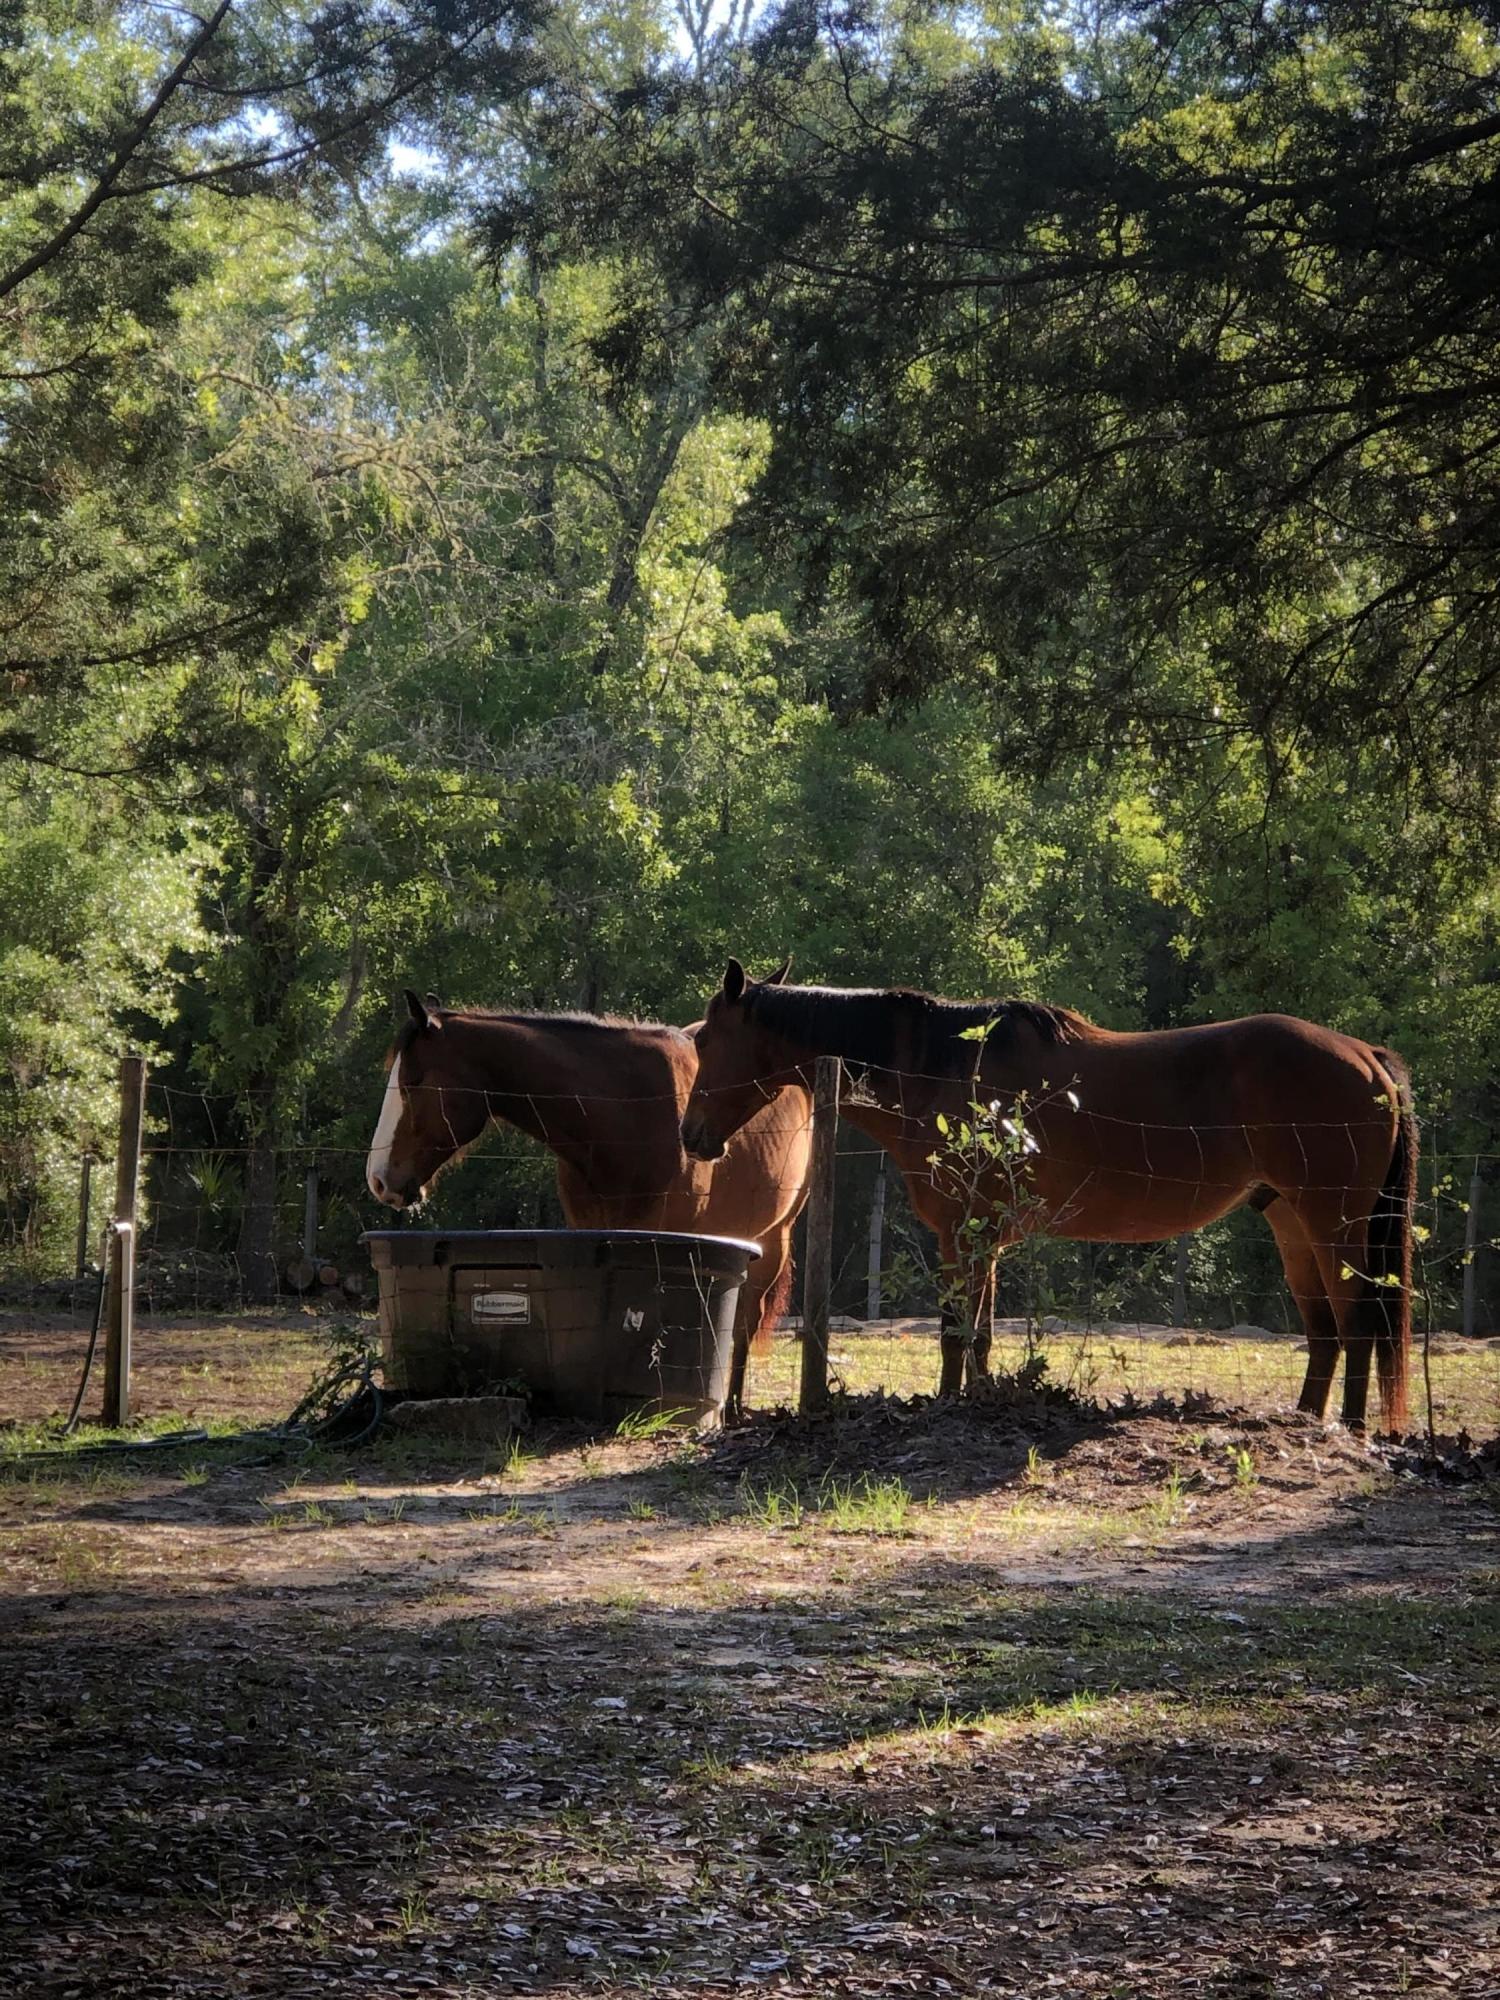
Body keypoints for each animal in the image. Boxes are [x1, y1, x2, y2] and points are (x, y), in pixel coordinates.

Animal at [366, 991, 812, 1415]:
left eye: (412, 1082)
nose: (379, 1179)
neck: (625, 1116)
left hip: (774, 1238)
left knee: (746, 1321)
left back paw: (733, 1405)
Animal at [681, 961, 1417, 1433]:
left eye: (708, 1038)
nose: (691, 1135)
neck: (938, 1066)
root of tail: (1366, 1056)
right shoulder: (982, 1237)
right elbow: (976, 1335)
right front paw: (975, 1401)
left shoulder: (962, 1232)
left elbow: (956, 1333)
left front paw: (950, 1406)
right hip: (1292, 1222)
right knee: (1325, 1331)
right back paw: (1305, 1420)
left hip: (1333, 1222)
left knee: (1358, 1322)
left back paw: (1349, 1428)